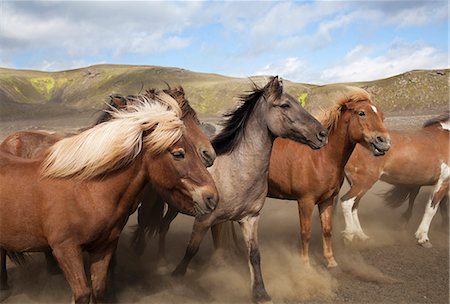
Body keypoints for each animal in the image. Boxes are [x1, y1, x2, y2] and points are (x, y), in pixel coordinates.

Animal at [0, 94, 218, 302]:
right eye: (178, 154)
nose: (212, 198)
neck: (86, 191)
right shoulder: (66, 249)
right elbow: (82, 294)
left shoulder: (103, 248)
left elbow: (98, 289)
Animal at [268, 86, 390, 268]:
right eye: (361, 113)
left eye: (382, 115)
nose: (384, 142)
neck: (321, 157)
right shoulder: (305, 201)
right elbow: (306, 232)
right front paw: (305, 265)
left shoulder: (327, 200)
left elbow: (327, 229)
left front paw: (331, 260)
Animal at [342, 111, 450, 247]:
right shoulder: (443, 181)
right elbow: (431, 208)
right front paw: (423, 237)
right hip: (363, 183)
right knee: (346, 202)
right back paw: (349, 235)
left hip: (358, 184)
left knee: (354, 206)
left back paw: (362, 236)